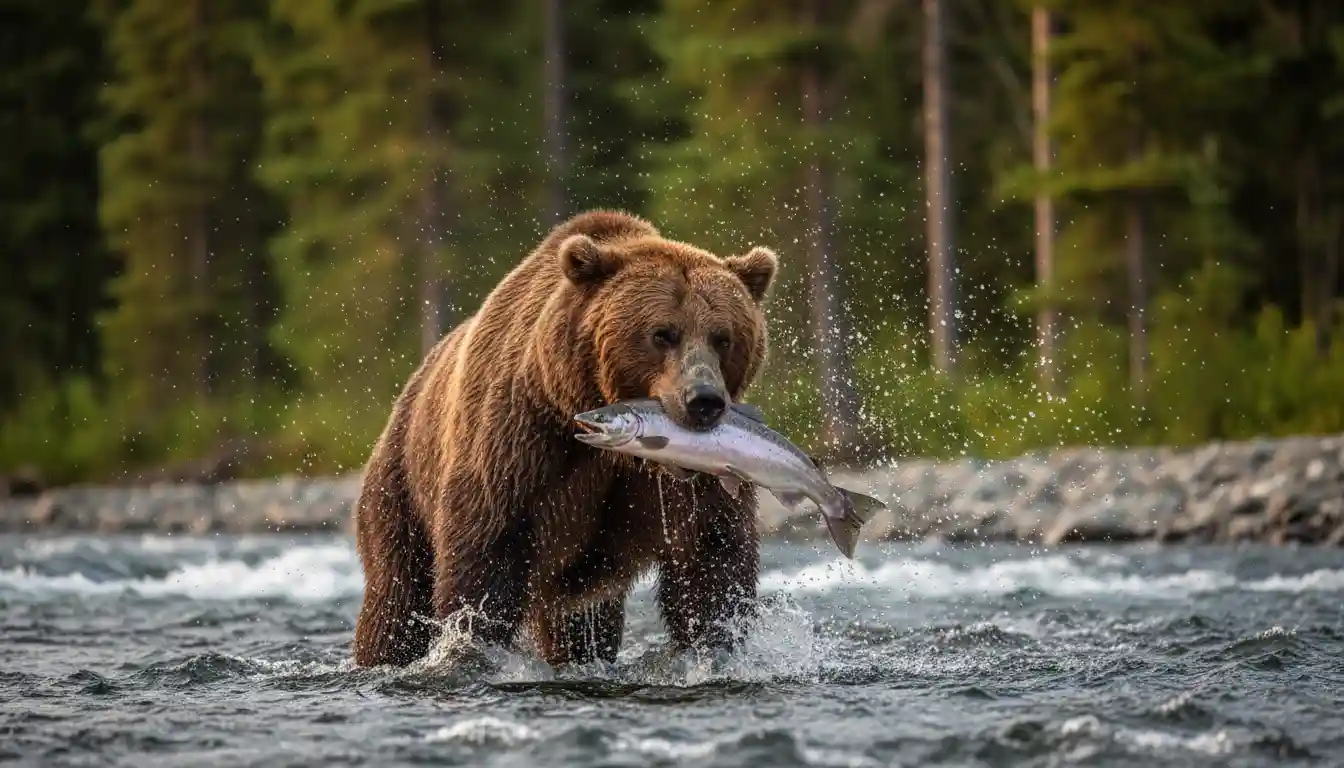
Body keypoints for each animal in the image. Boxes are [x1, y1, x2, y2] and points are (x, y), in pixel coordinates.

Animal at [350, 209, 780, 669]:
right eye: (662, 333)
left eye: (723, 337)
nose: (704, 400)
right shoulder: (519, 445)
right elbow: (484, 558)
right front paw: (471, 644)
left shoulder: (695, 477)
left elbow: (710, 559)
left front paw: (715, 643)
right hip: (401, 486)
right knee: (396, 597)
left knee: (581, 621)